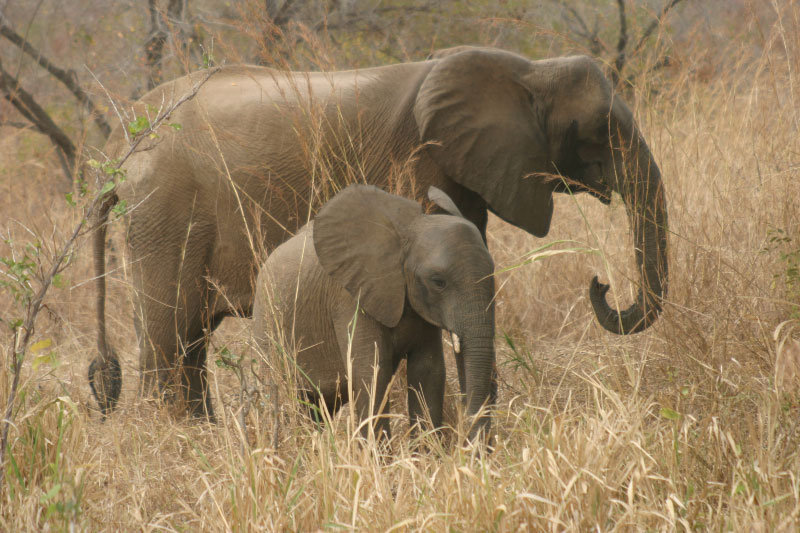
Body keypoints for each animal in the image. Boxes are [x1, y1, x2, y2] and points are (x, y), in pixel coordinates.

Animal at [255, 185, 494, 442]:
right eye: (438, 282)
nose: (471, 440)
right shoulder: (350, 298)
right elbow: (372, 372)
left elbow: (429, 371)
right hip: (266, 324)